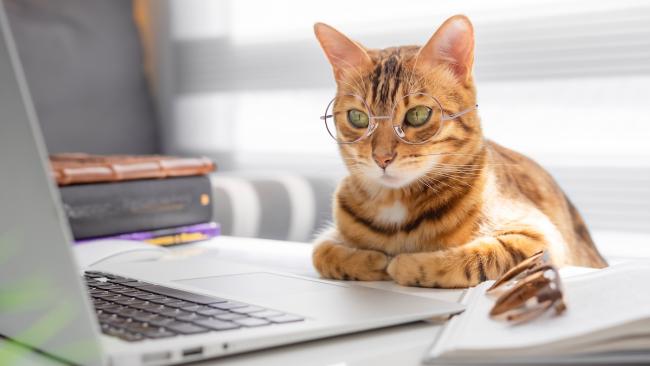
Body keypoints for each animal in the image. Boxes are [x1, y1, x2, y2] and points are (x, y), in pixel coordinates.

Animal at [312, 15, 604, 288]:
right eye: (358, 118)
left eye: (418, 115)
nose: (382, 158)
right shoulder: (329, 236)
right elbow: (321, 252)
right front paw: (370, 260)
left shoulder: (541, 237)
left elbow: (479, 257)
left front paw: (406, 264)